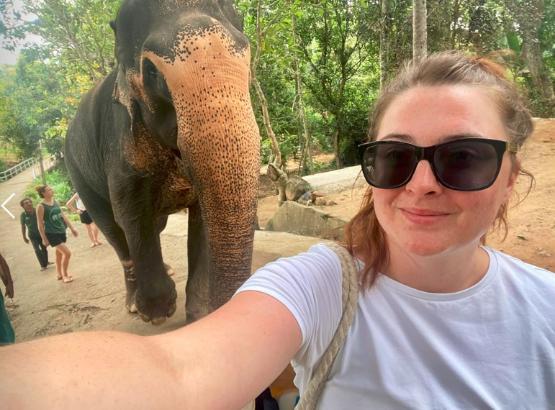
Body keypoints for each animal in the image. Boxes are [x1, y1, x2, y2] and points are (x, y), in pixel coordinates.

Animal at [66, 0, 262, 326]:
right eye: (152, 72)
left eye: (247, 55)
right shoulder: (120, 140)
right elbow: (131, 213)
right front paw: (157, 312)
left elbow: (202, 217)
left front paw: (199, 315)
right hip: (79, 176)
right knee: (114, 232)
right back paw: (134, 304)